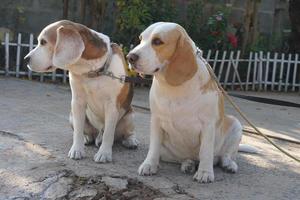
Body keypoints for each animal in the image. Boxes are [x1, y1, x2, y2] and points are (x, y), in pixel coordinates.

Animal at [25, 20, 138, 163]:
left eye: (43, 42)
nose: (25, 59)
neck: (92, 71)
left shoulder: (112, 105)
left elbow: (108, 133)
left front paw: (104, 153)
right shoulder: (77, 102)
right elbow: (78, 131)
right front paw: (77, 150)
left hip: (130, 116)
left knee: (123, 133)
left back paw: (130, 141)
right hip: (71, 116)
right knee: (89, 133)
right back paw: (87, 138)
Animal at [127, 22, 255, 183]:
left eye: (157, 41)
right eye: (141, 39)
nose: (130, 57)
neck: (174, 88)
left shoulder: (207, 125)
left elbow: (205, 151)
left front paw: (205, 172)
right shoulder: (156, 121)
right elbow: (153, 148)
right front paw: (149, 165)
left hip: (236, 124)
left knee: (225, 155)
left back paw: (228, 165)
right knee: (185, 158)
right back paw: (187, 164)